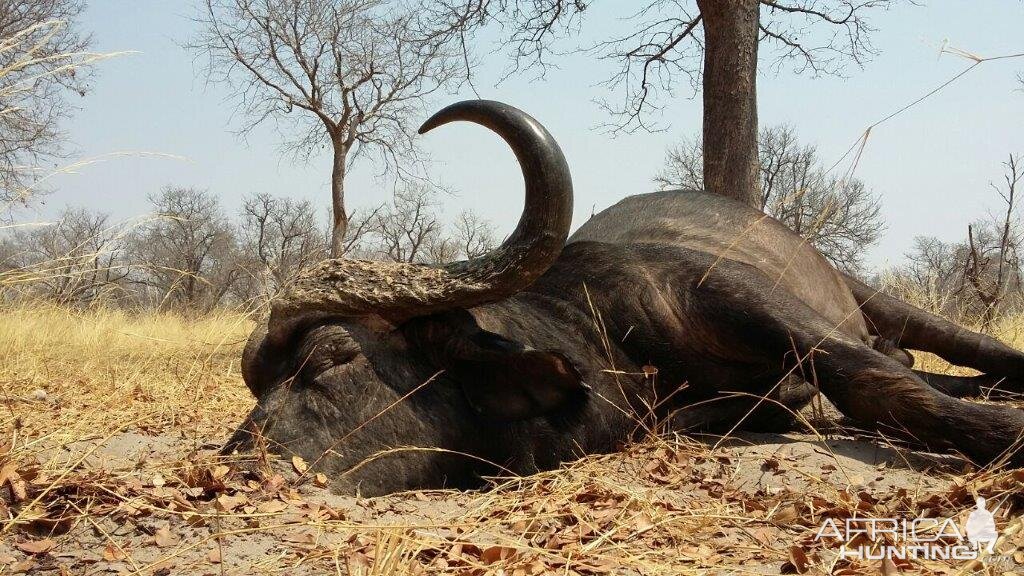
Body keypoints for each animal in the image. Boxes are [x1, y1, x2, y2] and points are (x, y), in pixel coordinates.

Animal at [228, 98, 1024, 494]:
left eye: (332, 356)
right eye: (259, 385)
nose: (240, 467)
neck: (607, 335)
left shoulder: (745, 303)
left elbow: (876, 384)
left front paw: (1003, 434)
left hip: (882, 302)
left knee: (950, 355)